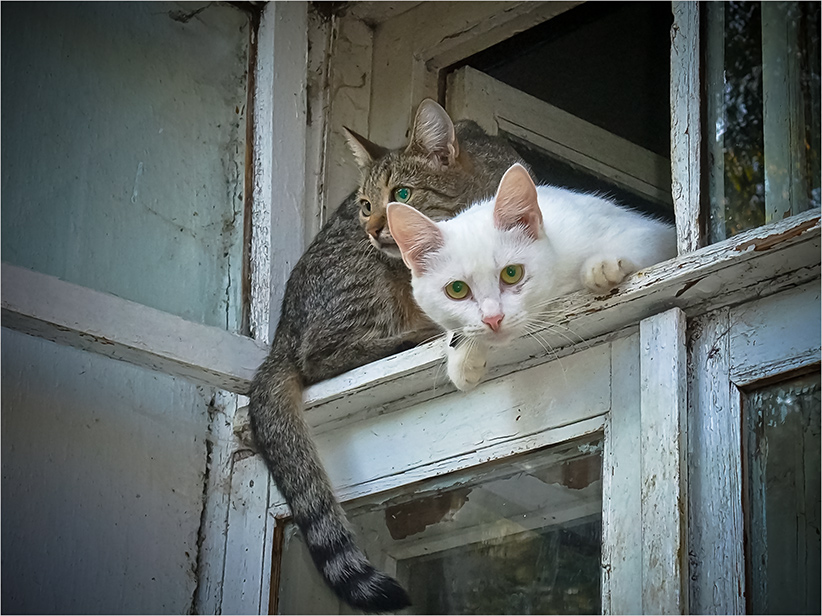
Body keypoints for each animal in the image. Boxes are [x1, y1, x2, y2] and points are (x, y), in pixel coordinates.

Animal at [248, 101, 524, 612]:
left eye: (401, 195)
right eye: (365, 204)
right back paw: (411, 335)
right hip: (364, 286)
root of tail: (280, 336)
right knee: (318, 358)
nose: (375, 229)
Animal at [386, 164, 676, 390]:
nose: (493, 319)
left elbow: (646, 243)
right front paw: (462, 356)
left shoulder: (654, 233)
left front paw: (603, 265)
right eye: (456, 289)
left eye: (511, 273)